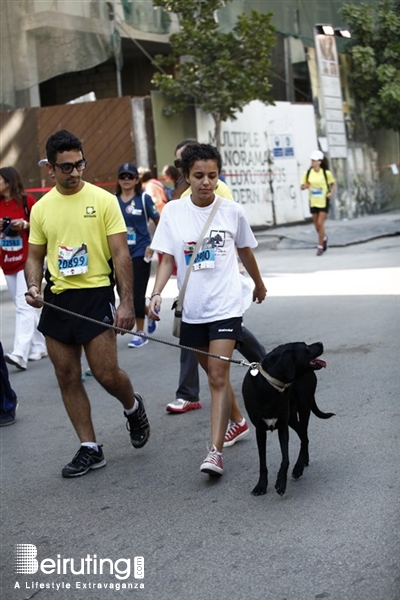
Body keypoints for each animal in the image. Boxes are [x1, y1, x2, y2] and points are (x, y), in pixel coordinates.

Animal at [242, 342, 332, 496]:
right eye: (306, 348)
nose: (320, 343)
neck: (270, 386)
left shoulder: (283, 427)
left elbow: (285, 459)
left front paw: (281, 483)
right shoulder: (260, 430)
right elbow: (262, 462)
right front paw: (261, 485)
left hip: (303, 407)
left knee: (304, 437)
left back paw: (299, 467)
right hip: (292, 418)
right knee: (303, 436)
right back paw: (304, 461)